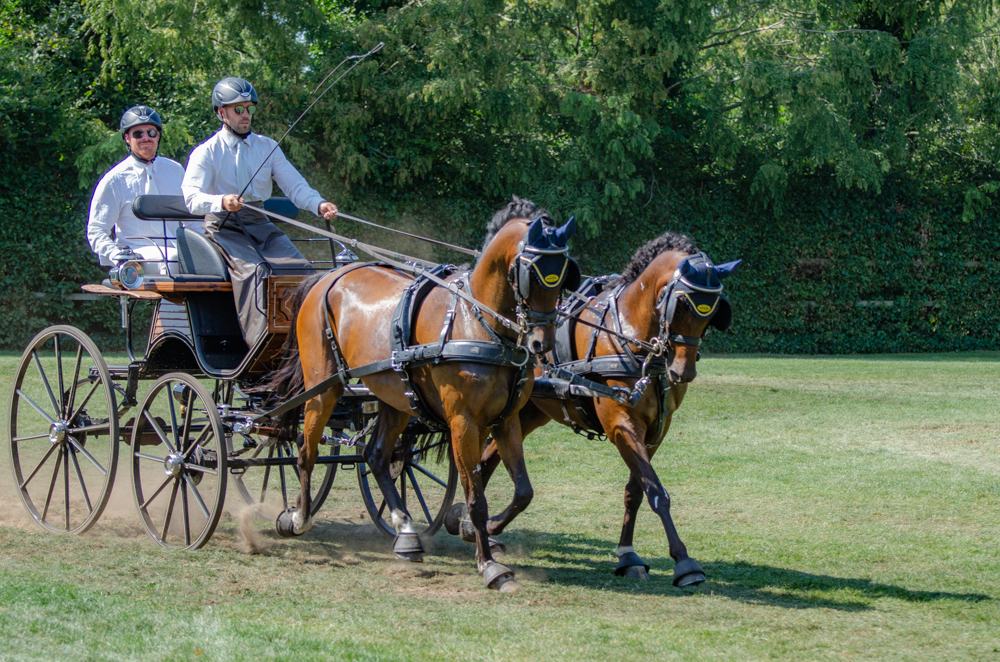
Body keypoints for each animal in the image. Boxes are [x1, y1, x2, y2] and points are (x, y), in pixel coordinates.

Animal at [266, 197, 580, 591]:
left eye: (564, 275)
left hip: (395, 397)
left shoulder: (505, 420)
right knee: (306, 450)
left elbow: (523, 492)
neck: (479, 323)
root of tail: (327, 277)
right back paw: (298, 518)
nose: (542, 343)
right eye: (529, 272)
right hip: (323, 387)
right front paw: (489, 565)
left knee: (376, 456)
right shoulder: (464, 423)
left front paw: (482, 533)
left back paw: (405, 531)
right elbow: (476, 498)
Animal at [471, 231, 739, 587]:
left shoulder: (657, 430)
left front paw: (628, 555)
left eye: (712, 312)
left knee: (488, 459)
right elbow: (656, 490)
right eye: (681, 303)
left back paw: (474, 525)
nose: (683, 372)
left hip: (527, 411)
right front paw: (684, 562)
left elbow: (636, 491)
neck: (632, 335)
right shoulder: (620, 423)